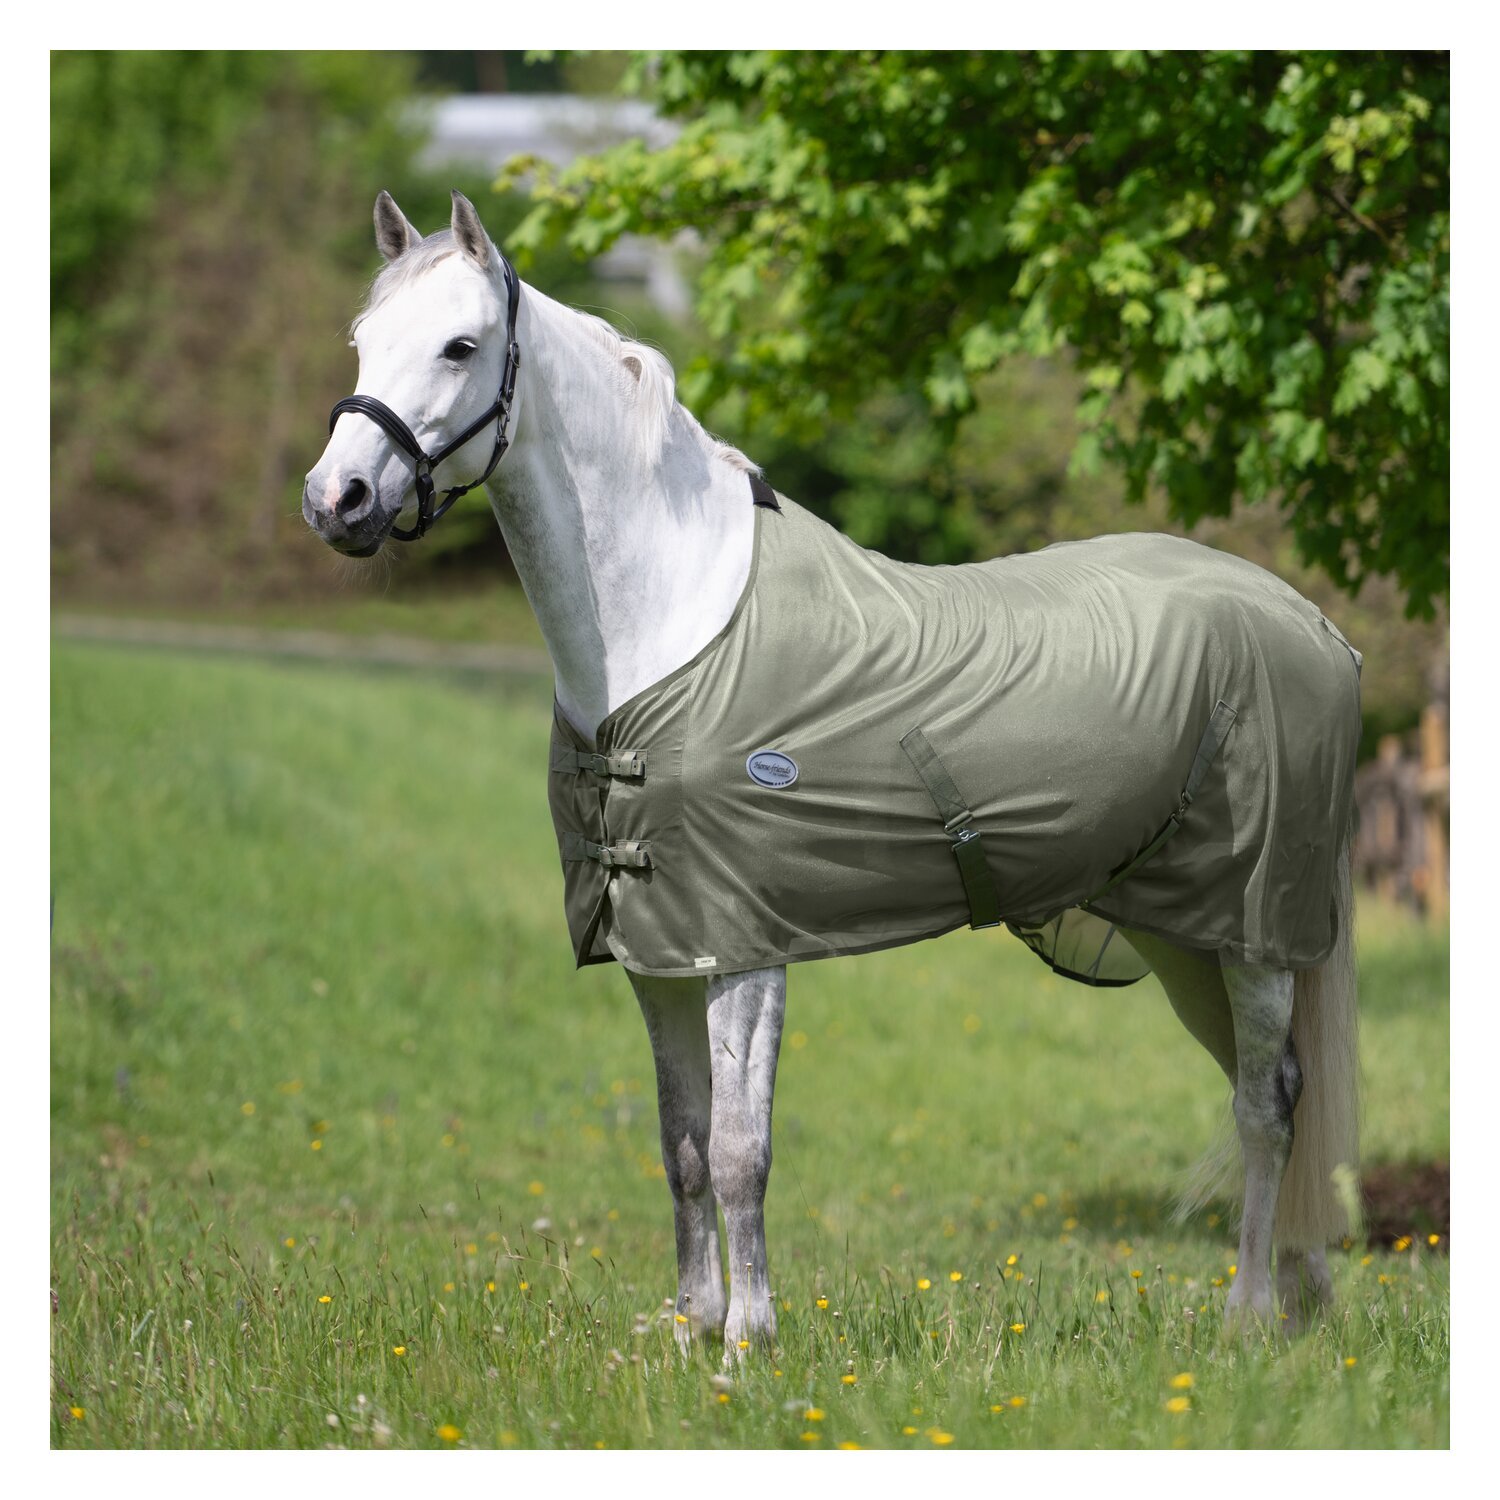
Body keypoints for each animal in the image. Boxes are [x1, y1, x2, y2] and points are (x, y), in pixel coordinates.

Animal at [303, 190, 1361, 1350]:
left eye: (460, 345)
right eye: (363, 339)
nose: (336, 501)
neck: (670, 621)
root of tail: (1311, 623)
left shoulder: (744, 947)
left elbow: (739, 1150)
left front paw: (749, 1338)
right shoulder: (657, 953)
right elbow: (680, 1147)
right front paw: (689, 1327)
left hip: (1253, 928)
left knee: (1266, 1105)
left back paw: (1251, 1315)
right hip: (1185, 933)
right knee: (1273, 1087)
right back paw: (1302, 1297)